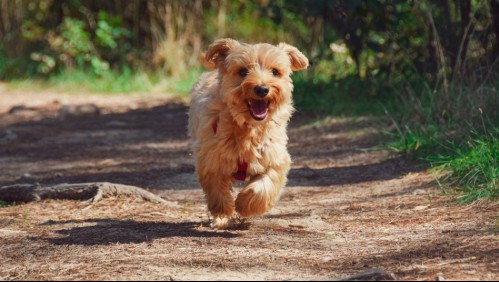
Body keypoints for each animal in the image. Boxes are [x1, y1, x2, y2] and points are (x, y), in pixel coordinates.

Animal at [189, 38, 308, 229]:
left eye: (275, 72)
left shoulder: (275, 157)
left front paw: (245, 205)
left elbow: (264, 186)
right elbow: (217, 189)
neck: (248, 128)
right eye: (243, 71)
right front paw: (223, 211)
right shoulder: (210, 159)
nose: (262, 89)